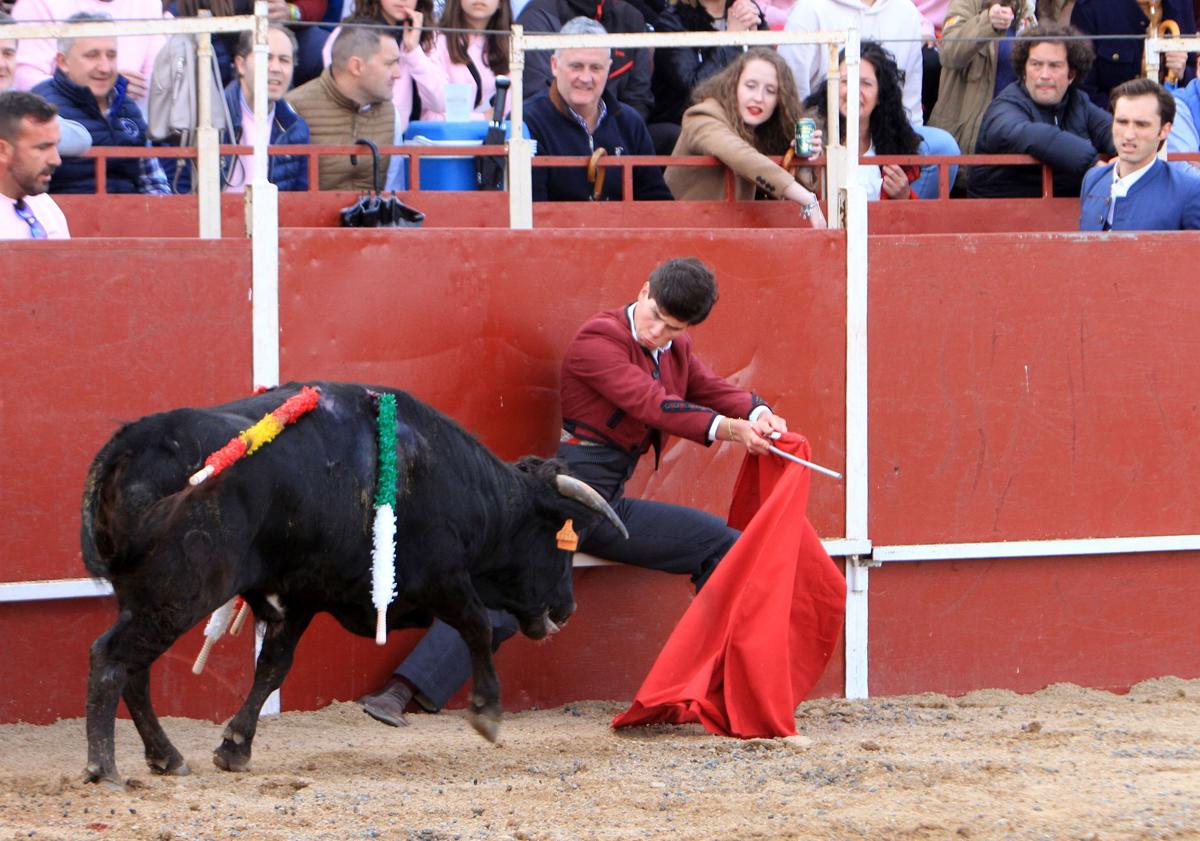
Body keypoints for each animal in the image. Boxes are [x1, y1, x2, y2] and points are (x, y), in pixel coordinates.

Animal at [82, 381, 628, 787]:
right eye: (559, 540)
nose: (567, 609)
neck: (460, 485)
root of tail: (132, 443)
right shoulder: (444, 579)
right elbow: (478, 626)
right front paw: (487, 714)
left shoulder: (300, 597)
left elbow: (272, 669)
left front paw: (235, 747)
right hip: (178, 594)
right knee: (111, 658)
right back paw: (104, 768)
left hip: (145, 596)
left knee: (135, 670)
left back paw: (166, 757)